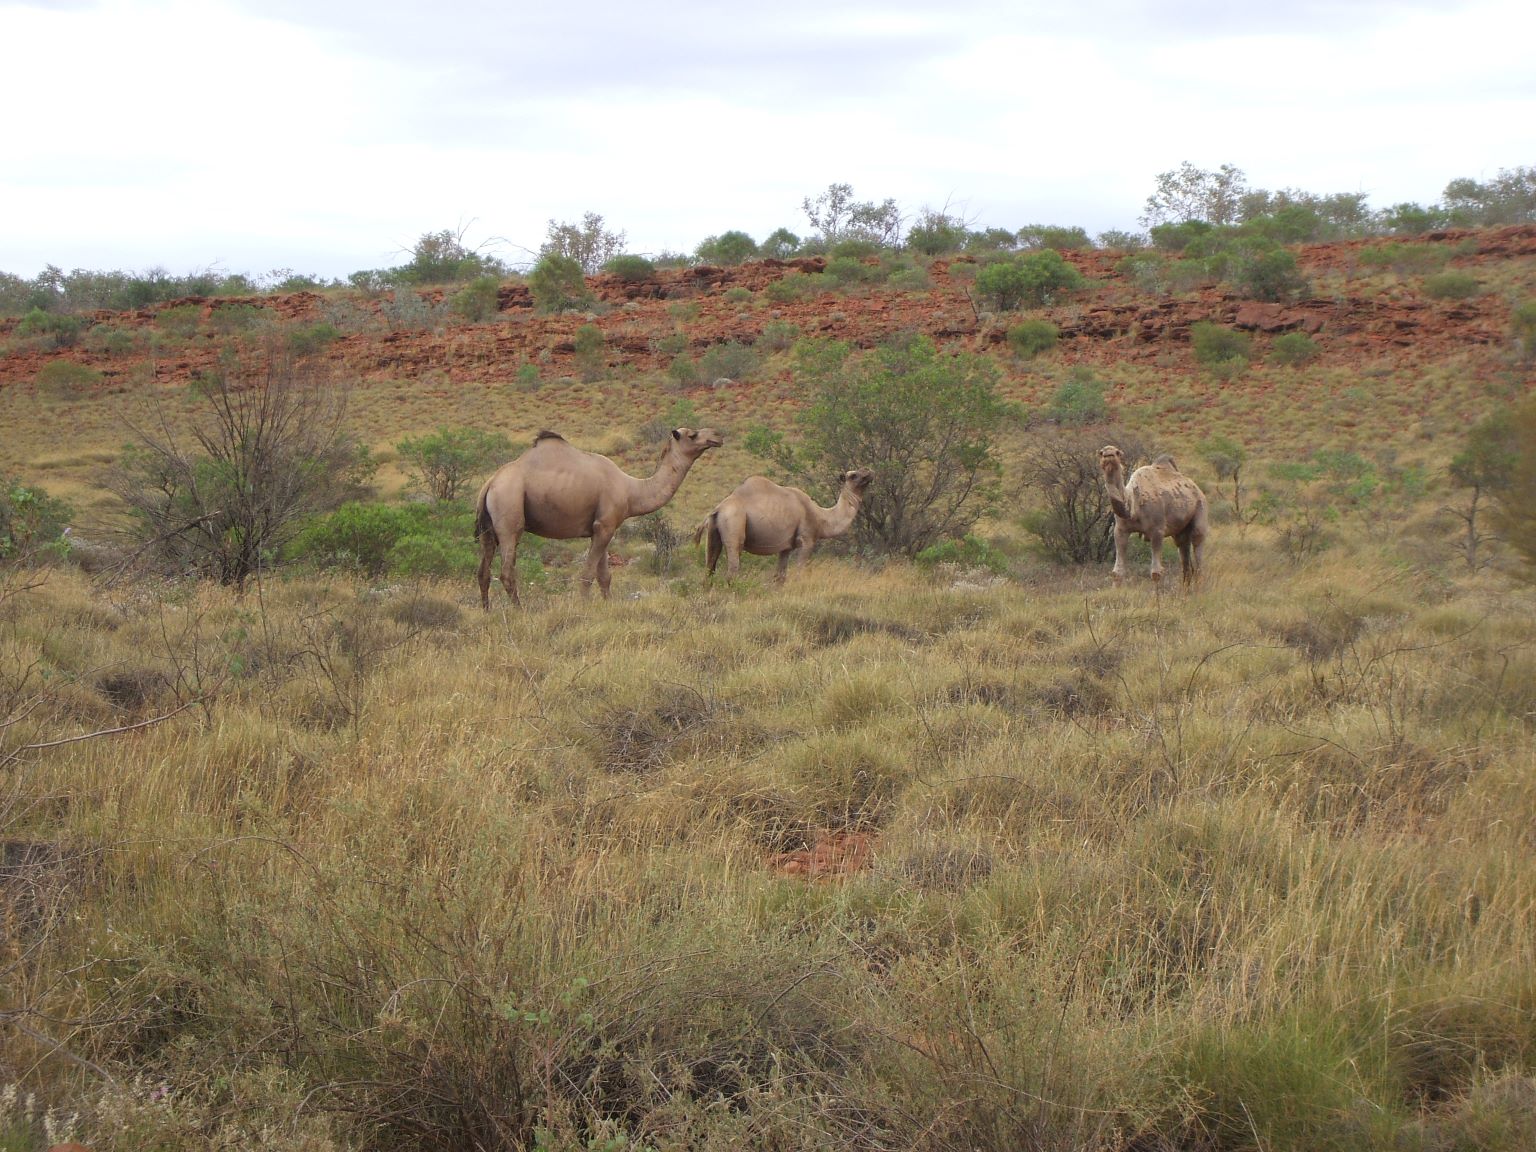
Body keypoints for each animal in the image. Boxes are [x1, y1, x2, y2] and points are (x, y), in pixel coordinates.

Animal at [475, 427, 722, 607]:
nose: (717, 436)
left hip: (489, 528)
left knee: (483, 572)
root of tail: (490, 483)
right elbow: (588, 575)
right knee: (507, 571)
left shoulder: (602, 527)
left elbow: (604, 576)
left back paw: (487, 611)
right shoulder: (605, 525)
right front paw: (583, 607)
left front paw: (608, 607)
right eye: (692, 434)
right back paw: (519, 610)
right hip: (509, 511)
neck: (631, 490)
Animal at [693, 468, 874, 582]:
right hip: (734, 523)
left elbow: (780, 577)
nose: (869, 472)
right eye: (853, 475)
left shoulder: (786, 547)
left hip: (714, 531)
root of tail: (718, 509)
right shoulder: (807, 539)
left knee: (709, 569)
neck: (821, 517)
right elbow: (800, 572)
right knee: (732, 567)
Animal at [1097, 445, 1209, 585]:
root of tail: (1198, 490)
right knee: (1185, 560)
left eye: (1117, 452)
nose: (1109, 454)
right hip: (1180, 531)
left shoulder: (1157, 531)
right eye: (1101, 453)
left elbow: (1156, 573)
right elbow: (1117, 572)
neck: (1134, 505)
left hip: (1201, 509)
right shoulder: (1120, 530)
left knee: (1198, 552)